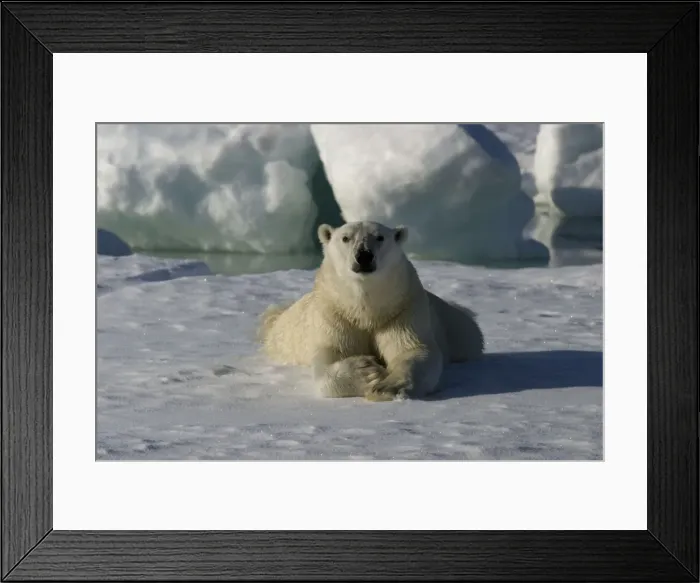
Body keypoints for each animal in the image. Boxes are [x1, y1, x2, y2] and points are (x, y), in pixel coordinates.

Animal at [258, 221, 484, 401]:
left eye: (380, 237)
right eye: (345, 238)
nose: (364, 255)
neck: (366, 309)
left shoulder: (402, 311)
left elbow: (413, 349)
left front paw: (388, 387)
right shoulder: (335, 314)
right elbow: (329, 355)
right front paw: (367, 372)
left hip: (456, 328)